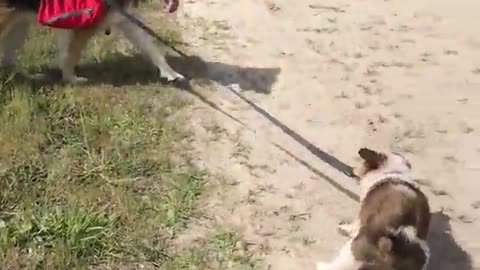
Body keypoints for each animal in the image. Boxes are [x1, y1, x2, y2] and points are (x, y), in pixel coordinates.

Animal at [0, 0, 184, 83]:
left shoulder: (124, 20)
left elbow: (152, 49)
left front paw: (170, 73)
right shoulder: (83, 27)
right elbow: (70, 56)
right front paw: (71, 79)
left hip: (19, 24)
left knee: (8, 57)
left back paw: (27, 76)